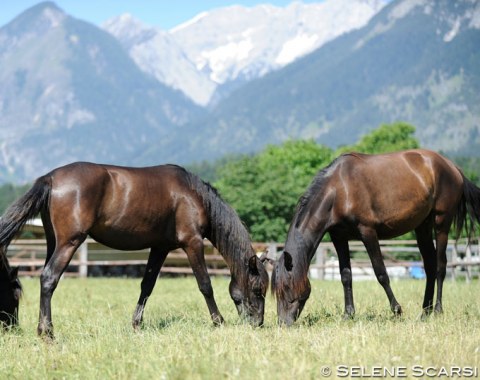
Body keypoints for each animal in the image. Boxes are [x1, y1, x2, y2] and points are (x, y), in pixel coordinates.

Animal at [0, 162, 270, 336]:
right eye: (258, 289)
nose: (258, 323)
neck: (193, 195)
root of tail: (51, 178)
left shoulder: (160, 248)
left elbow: (147, 286)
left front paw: (137, 324)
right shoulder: (192, 243)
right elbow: (205, 284)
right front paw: (218, 321)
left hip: (53, 242)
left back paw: (42, 328)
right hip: (69, 243)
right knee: (48, 278)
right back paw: (47, 332)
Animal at [272, 150, 480, 326]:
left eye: (287, 287)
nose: (283, 323)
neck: (339, 190)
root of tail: (453, 168)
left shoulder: (368, 232)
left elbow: (381, 273)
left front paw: (396, 310)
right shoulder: (339, 237)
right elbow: (345, 275)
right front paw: (348, 314)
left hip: (441, 223)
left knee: (440, 266)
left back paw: (437, 310)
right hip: (422, 227)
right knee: (429, 265)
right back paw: (424, 312)